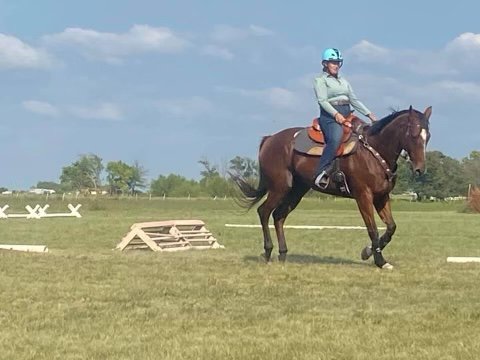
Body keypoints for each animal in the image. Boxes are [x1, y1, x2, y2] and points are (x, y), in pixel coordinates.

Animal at [231, 105, 434, 268]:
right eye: (413, 134)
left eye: (428, 136)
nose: (420, 169)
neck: (374, 150)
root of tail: (270, 139)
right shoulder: (363, 196)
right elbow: (373, 229)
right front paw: (378, 260)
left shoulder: (381, 197)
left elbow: (391, 227)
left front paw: (368, 252)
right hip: (279, 187)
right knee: (264, 212)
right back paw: (267, 251)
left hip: (296, 190)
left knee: (278, 216)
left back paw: (282, 254)